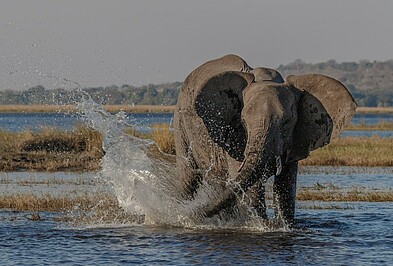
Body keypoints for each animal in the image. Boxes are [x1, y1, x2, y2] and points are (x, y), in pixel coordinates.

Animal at [172, 54, 356, 224]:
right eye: (243, 121)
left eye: (286, 122)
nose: (189, 215)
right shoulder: (235, 137)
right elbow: (251, 187)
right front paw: (261, 226)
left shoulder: (295, 139)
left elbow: (286, 188)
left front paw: (282, 225)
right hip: (180, 122)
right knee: (188, 178)